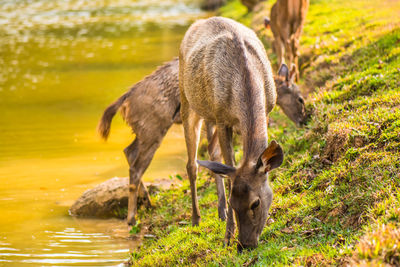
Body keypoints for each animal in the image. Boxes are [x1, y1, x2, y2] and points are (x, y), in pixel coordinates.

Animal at [180, 16, 286, 251]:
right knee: (192, 164)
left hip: (207, 113)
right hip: (187, 100)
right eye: (233, 202)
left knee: (211, 152)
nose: (245, 245)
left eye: (256, 203)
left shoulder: (267, 110)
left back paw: (219, 213)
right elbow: (230, 174)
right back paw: (196, 219)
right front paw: (227, 237)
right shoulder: (222, 119)